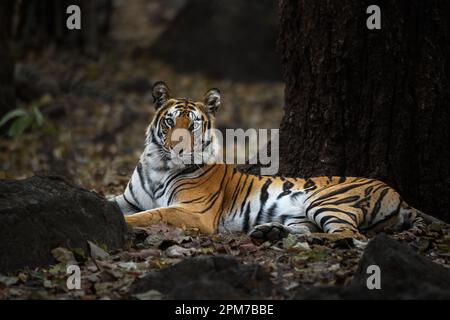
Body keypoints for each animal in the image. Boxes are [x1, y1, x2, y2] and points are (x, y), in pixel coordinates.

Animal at [112, 81, 426, 244]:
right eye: (170, 122)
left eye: (192, 126)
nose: (178, 147)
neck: (159, 166)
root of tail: (400, 196)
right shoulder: (129, 199)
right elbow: (113, 202)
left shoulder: (194, 211)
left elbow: (153, 214)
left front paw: (127, 223)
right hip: (302, 214)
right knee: (309, 229)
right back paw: (269, 231)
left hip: (328, 200)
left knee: (349, 234)